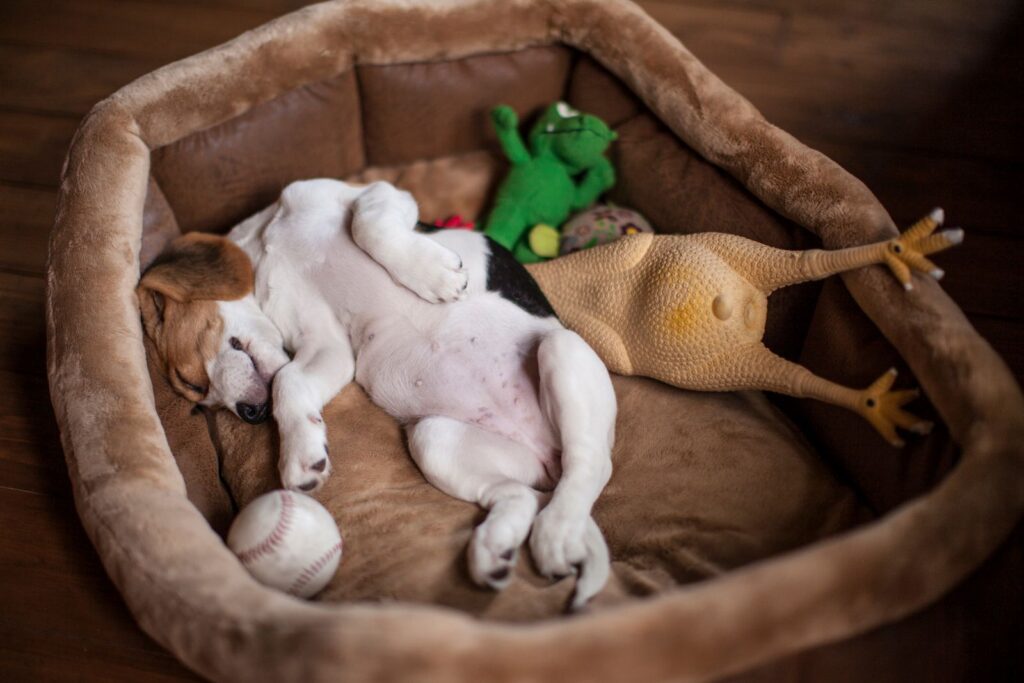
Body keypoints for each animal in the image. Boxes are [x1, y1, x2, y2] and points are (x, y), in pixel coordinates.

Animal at [136, 179, 614, 606]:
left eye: (193, 380)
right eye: (200, 399)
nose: (250, 413)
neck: (264, 243)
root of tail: (548, 456)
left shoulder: (375, 193)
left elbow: (368, 223)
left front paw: (436, 275)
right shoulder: (325, 343)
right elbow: (290, 381)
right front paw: (302, 454)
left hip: (560, 349)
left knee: (591, 466)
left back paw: (556, 532)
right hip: (435, 439)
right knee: (522, 493)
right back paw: (495, 548)